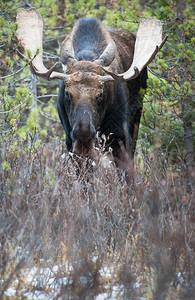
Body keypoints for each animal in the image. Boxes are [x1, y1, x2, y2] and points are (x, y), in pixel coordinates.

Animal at [16, 7, 167, 175]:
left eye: (100, 94)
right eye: (67, 94)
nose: (84, 135)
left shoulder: (121, 136)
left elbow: (126, 174)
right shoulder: (70, 141)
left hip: (136, 117)